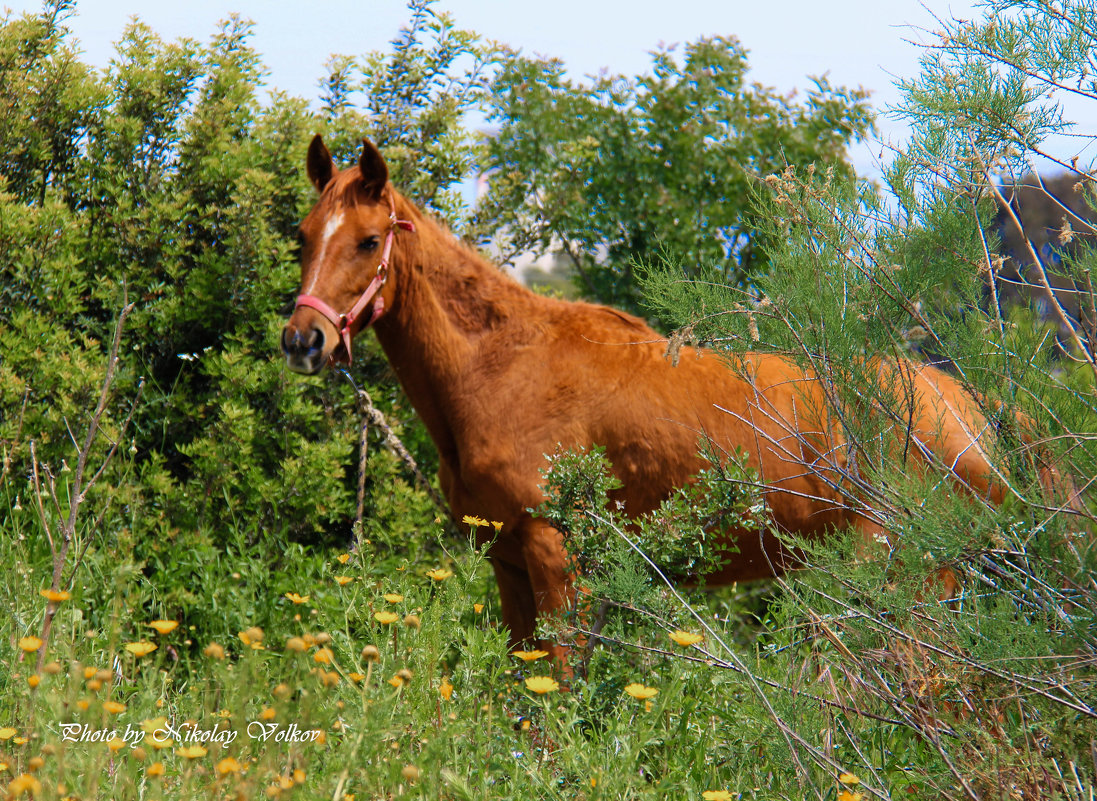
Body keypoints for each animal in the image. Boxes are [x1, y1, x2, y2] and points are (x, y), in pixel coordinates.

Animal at [280, 137, 1004, 658]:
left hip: (913, 575)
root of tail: (968, 411)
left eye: (369, 240)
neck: (501, 369)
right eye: (303, 235)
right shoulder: (507, 564)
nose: (303, 339)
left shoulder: (556, 557)